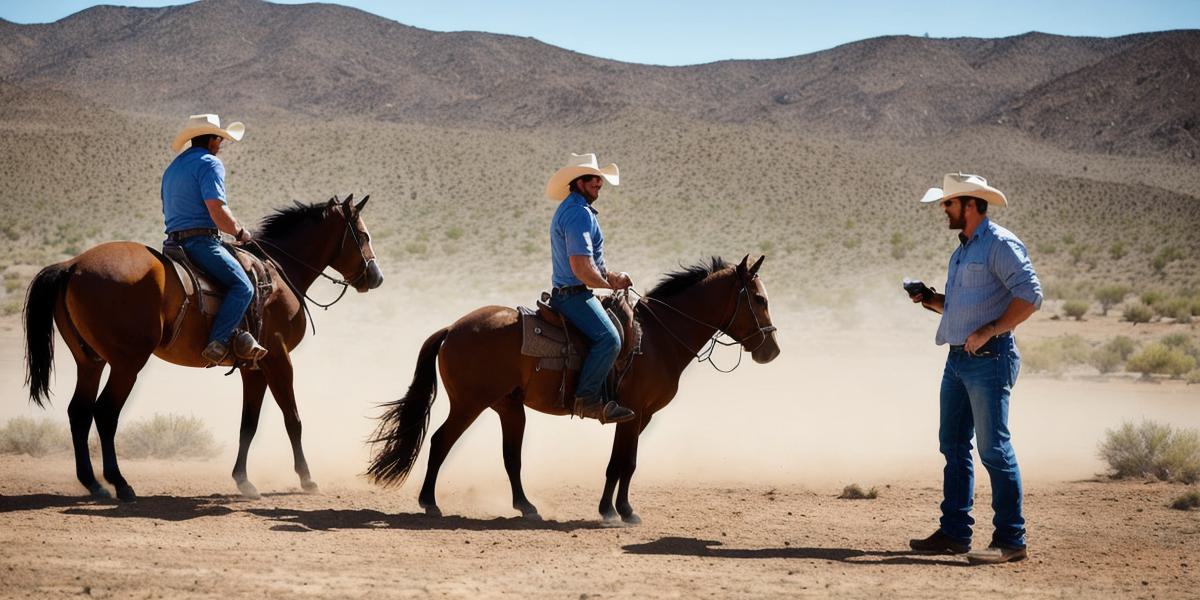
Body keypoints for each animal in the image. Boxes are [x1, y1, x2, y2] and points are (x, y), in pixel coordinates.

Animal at [24, 194, 379, 499]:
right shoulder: (279, 358)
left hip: (90, 361)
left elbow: (248, 423)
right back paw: (120, 484)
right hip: (127, 364)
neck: (277, 273)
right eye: (362, 235)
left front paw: (243, 480)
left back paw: (94, 484)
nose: (376, 277)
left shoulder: (254, 366)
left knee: (79, 412)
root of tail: (72, 265)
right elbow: (292, 417)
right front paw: (306, 478)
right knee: (105, 413)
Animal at [364, 255, 777, 523]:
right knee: (440, 442)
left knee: (510, 457)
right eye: (759, 299)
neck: (657, 338)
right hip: (469, 403)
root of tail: (452, 328)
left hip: (508, 407)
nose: (771, 350)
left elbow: (620, 463)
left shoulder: (635, 417)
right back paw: (429, 503)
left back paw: (526, 507)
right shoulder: (634, 414)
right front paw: (621, 512)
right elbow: (625, 463)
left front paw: (612, 509)